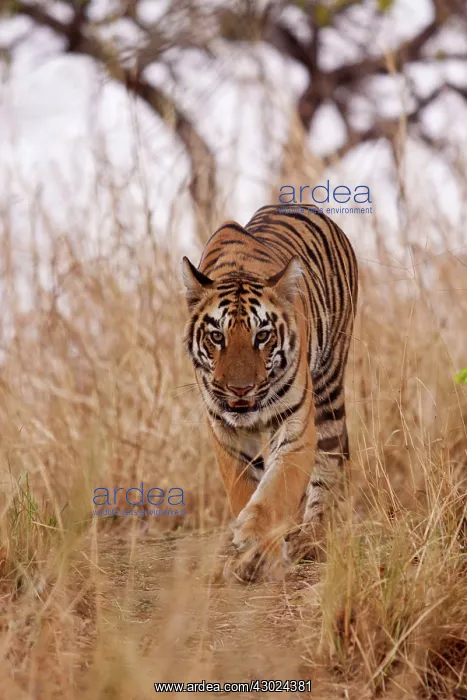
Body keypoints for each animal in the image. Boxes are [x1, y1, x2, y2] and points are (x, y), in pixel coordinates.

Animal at [182, 203, 358, 582]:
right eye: (216, 336)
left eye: (261, 335)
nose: (240, 388)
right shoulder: (224, 430)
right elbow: (244, 488)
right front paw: (248, 558)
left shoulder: (296, 425)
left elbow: (276, 491)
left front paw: (257, 543)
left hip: (329, 388)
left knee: (329, 464)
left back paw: (311, 539)